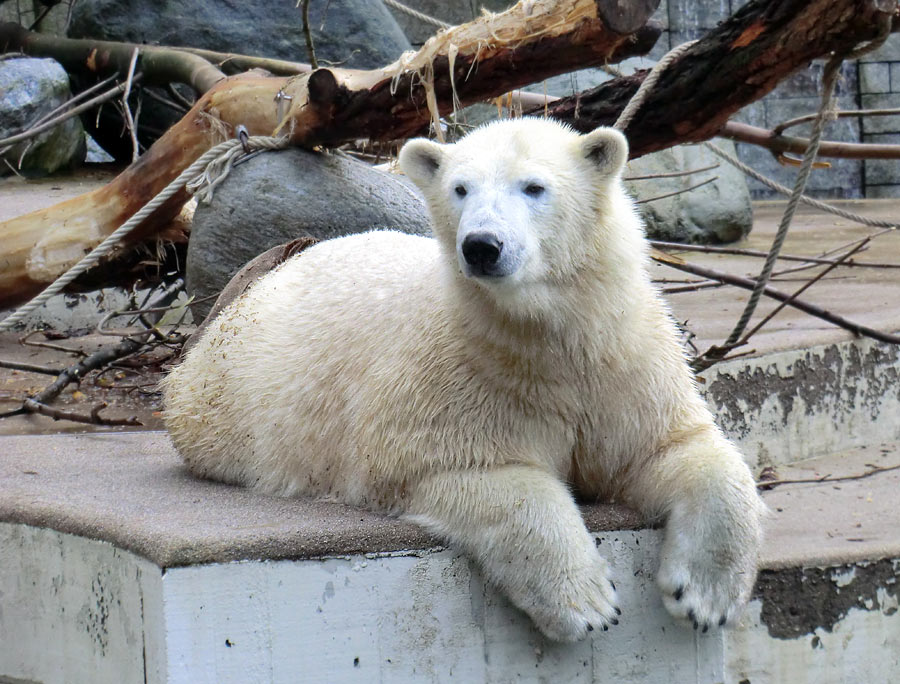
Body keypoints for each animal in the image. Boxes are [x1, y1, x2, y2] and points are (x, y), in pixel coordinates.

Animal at [162, 117, 760, 640]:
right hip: (230, 400)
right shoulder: (457, 385)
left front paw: (704, 596)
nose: (482, 245)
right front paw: (586, 603)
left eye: (534, 187)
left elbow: (678, 448)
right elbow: (477, 473)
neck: (551, 340)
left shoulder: (625, 367)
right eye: (460, 188)